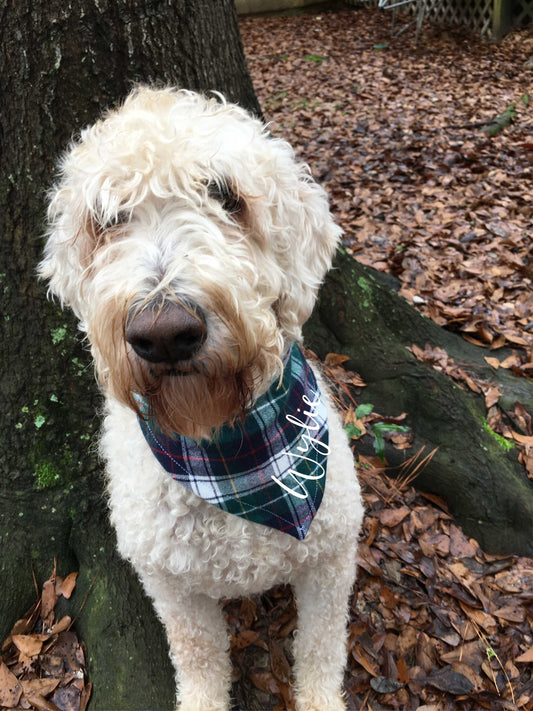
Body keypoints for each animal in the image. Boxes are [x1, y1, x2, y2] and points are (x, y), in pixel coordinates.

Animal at [39, 86, 364, 708]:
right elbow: (197, 655)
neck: (226, 443)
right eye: (107, 219)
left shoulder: (330, 561)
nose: (164, 333)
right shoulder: (172, 586)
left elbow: (320, 648)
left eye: (226, 196)